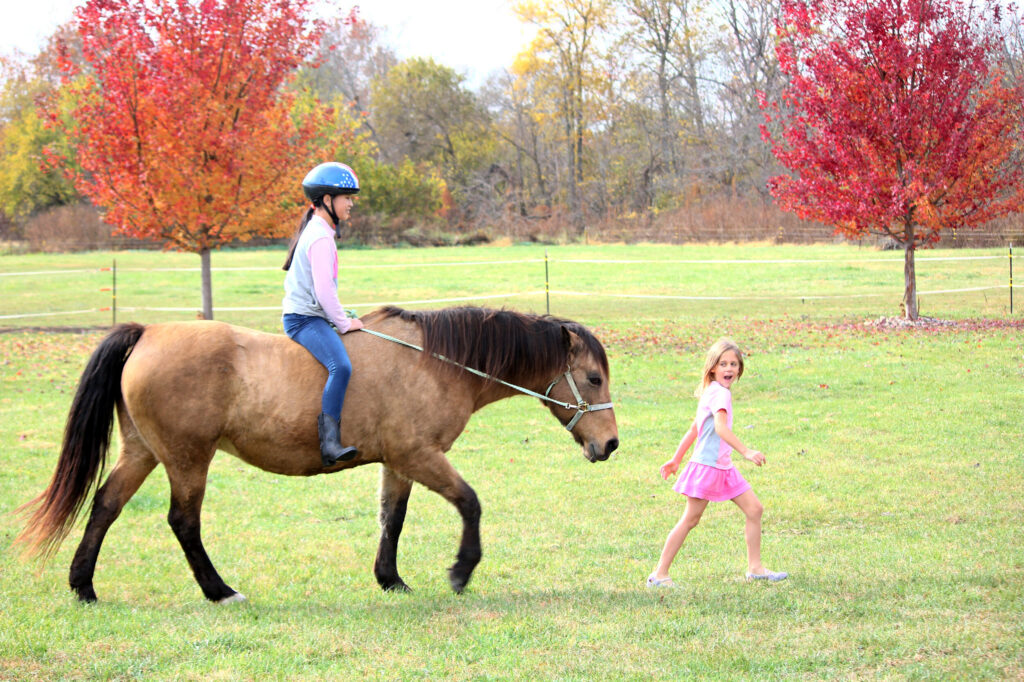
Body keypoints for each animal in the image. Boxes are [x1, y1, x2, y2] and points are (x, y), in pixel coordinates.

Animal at [18, 303, 614, 602]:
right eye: (593, 377)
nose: (609, 444)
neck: (432, 360)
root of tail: (147, 333)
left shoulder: (399, 463)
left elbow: (391, 520)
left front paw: (390, 580)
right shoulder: (420, 455)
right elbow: (470, 503)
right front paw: (461, 572)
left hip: (142, 451)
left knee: (105, 506)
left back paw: (83, 586)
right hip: (188, 459)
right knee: (183, 522)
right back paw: (219, 591)